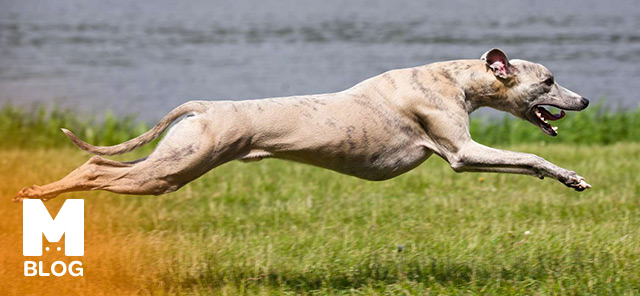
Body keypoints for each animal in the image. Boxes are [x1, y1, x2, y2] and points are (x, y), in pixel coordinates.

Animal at [11, 48, 592, 202]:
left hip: (170, 162)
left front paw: (566, 179)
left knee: (96, 166)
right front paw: (570, 175)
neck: (456, 78)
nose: (585, 99)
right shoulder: (462, 155)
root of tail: (203, 106)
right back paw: (40, 191)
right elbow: (531, 156)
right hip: (168, 172)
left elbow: (528, 163)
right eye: (549, 80)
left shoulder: (466, 154)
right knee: (94, 170)